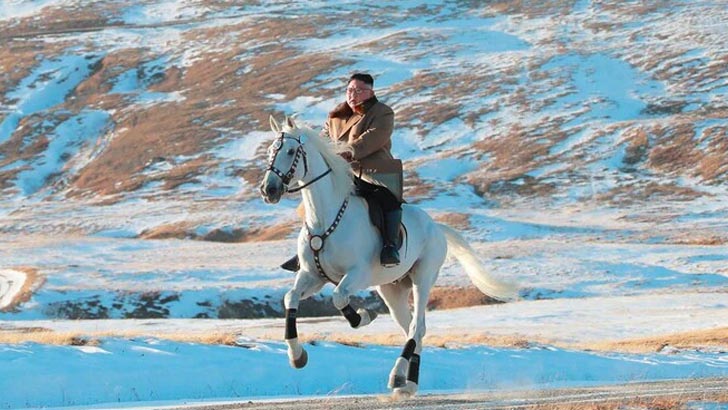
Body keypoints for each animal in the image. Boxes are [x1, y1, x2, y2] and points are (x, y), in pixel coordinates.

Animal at [258, 115, 516, 398]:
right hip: (391, 290)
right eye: (270, 151)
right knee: (413, 330)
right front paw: (297, 356)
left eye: (291, 151)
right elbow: (290, 297)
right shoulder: (312, 275)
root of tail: (436, 226)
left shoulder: (357, 274)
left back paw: (397, 376)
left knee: (416, 327)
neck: (325, 218)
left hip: (422, 279)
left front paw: (363, 316)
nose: (268, 189)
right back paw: (408, 384)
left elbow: (339, 298)